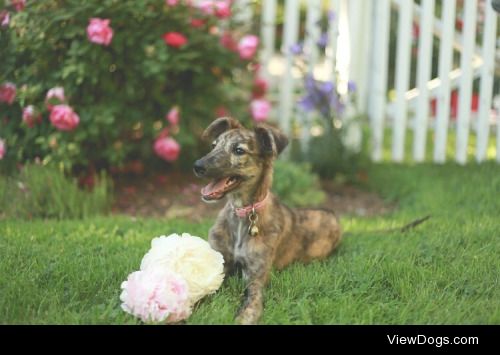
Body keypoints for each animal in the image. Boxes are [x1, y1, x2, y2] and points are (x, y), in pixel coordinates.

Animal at [193, 117, 342, 326]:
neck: (243, 214)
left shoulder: (255, 278)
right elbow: (200, 291)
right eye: (214, 146)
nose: (197, 166)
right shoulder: (220, 265)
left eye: (239, 150)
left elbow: (251, 305)